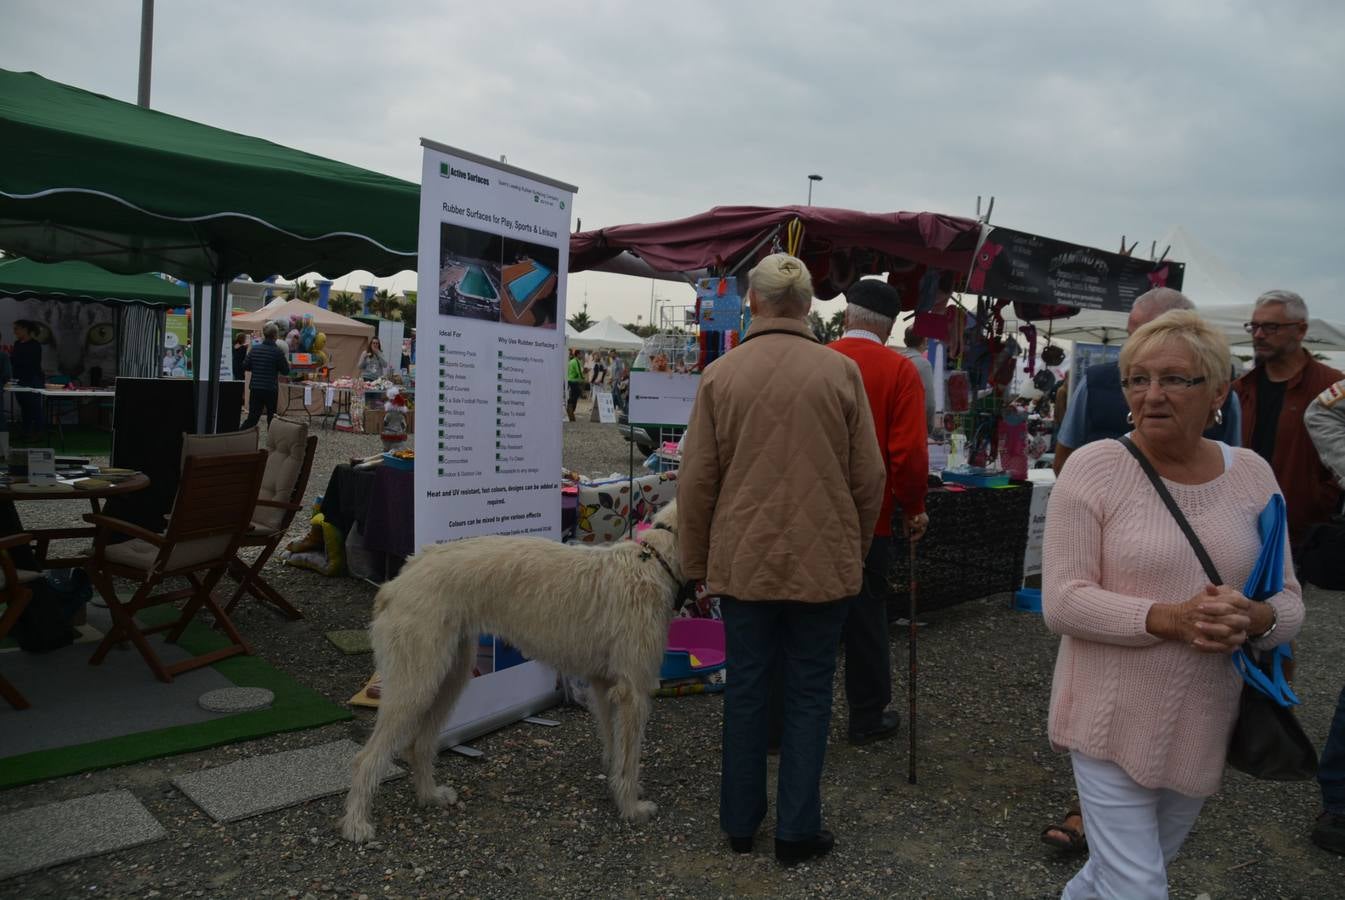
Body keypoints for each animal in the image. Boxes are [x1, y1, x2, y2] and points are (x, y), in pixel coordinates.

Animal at [341, 503, 677, 839]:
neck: (653, 561)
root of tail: (397, 581)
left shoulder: (604, 684)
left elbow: (614, 744)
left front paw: (618, 787)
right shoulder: (633, 692)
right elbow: (629, 758)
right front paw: (632, 807)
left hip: (449, 677)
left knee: (418, 745)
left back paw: (430, 795)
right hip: (415, 685)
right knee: (364, 759)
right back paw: (356, 823)